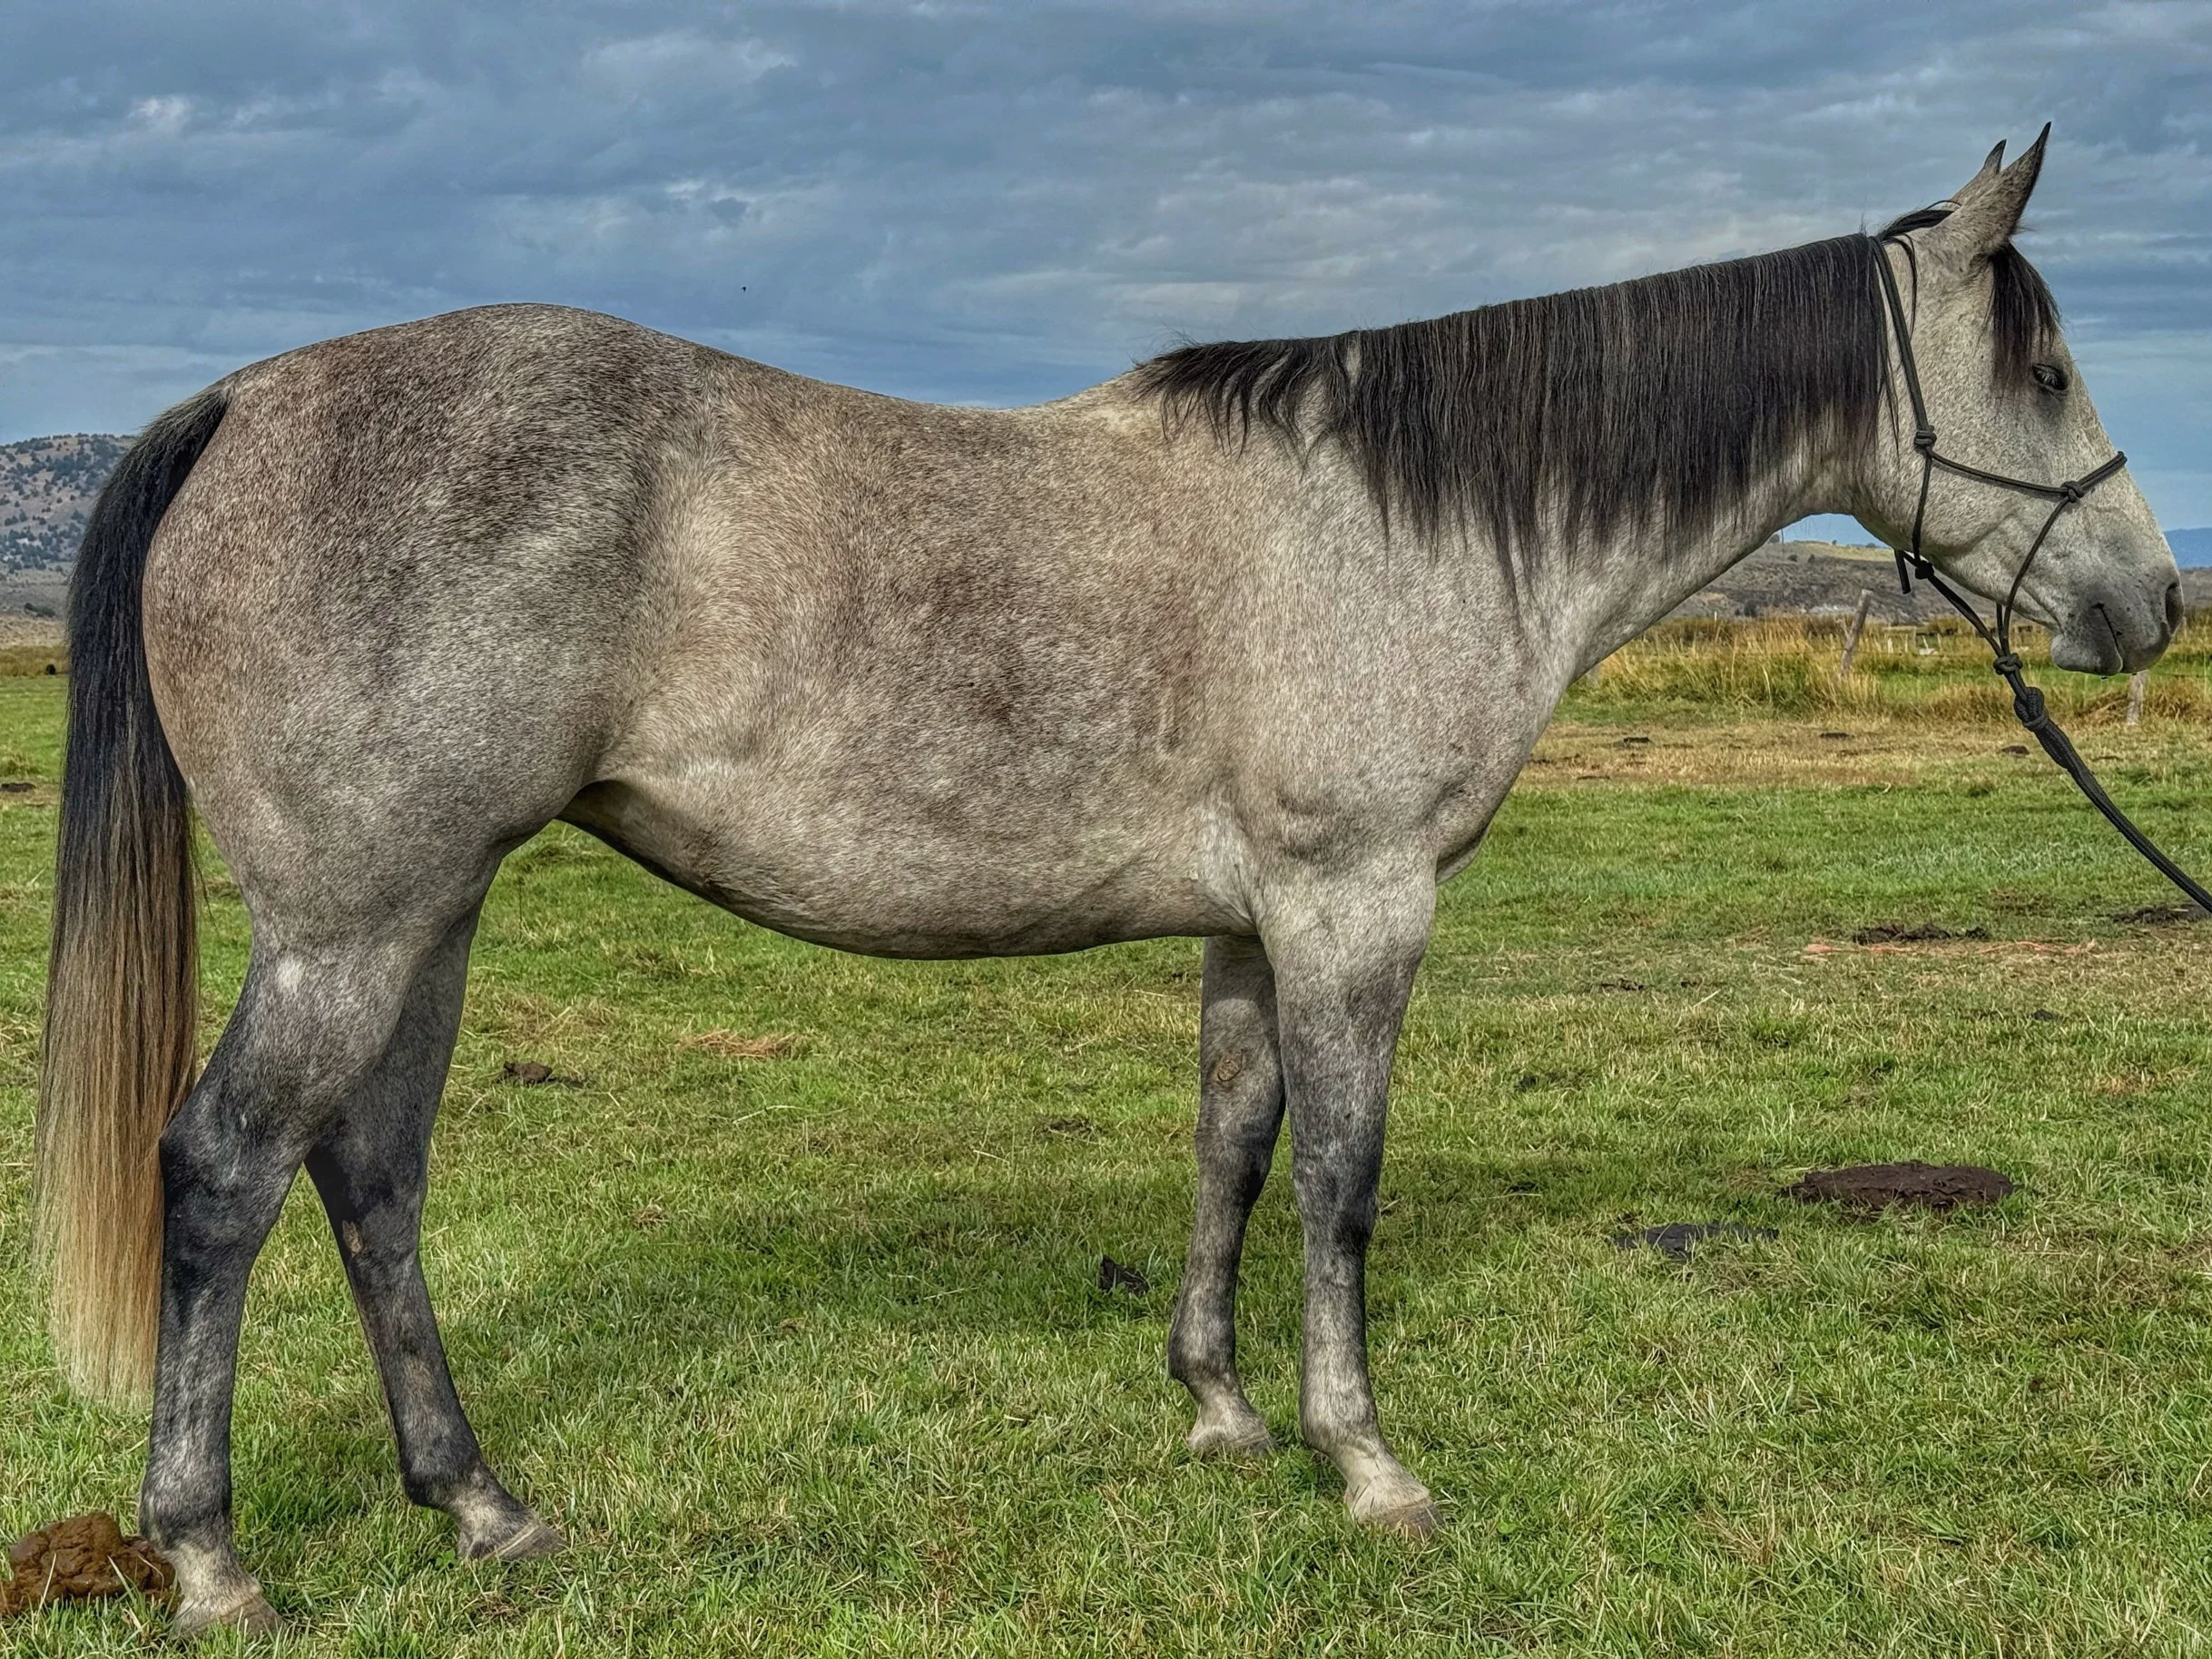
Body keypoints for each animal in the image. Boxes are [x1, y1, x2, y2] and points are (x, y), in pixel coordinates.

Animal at [32, 130, 2176, 1637]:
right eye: (2044, 366)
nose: (2150, 603)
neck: (1401, 526)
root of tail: (246, 399)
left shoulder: (1252, 923)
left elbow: (1229, 1148)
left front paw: (1217, 1409)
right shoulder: (1356, 907)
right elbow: (1338, 1182)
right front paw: (1364, 1459)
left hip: (434, 916)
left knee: (372, 1180)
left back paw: (482, 1503)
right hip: (351, 927)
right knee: (223, 1170)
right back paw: (212, 1557)